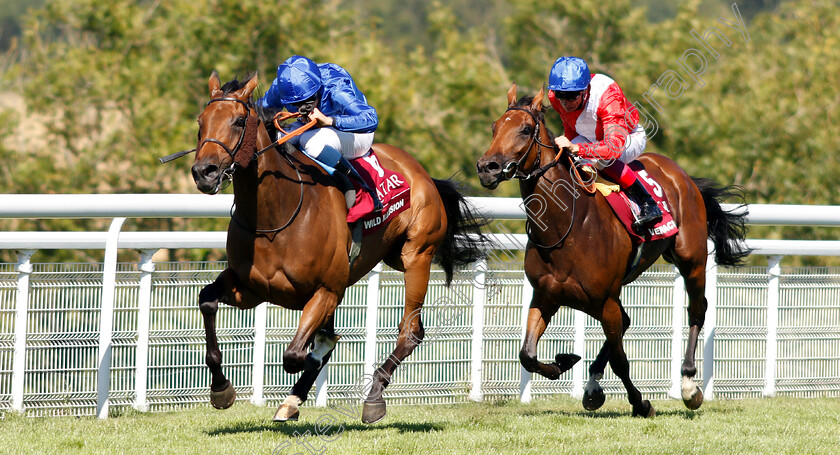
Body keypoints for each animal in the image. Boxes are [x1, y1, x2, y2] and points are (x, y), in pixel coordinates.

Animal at [186, 71, 482, 424]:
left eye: (238, 121)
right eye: (201, 121)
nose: (204, 172)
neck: (275, 215)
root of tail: (421, 172)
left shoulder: (325, 289)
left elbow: (296, 354)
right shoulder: (251, 289)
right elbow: (207, 301)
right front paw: (221, 389)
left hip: (416, 255)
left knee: (410, 330)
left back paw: (373, 397)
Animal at [476, 83, 752, 418]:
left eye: (526, 129)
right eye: (494, 127)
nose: (487, 168)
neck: (565, 229)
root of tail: (680, 173)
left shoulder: (604, 299)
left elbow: (622, 361)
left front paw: (642, 403)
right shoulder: (546, 296)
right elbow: (527, 354)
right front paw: (564, 363)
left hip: (692, 260)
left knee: (697, 310)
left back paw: (688, 386)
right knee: (626, 321)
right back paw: (593, 385)